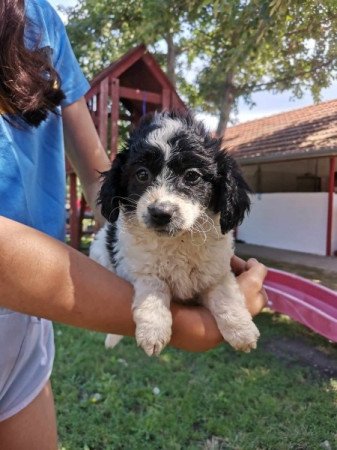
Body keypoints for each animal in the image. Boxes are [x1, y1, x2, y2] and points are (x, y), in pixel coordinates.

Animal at [88, 110, 258, 356]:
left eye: (192, 176)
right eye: (142, 174)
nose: (161, 213)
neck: (179, 240)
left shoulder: (216, 270)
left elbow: (225, 292)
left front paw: (241, 329)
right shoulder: (137, 266)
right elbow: (153, 285)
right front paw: (153, 329)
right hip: (100, 249)